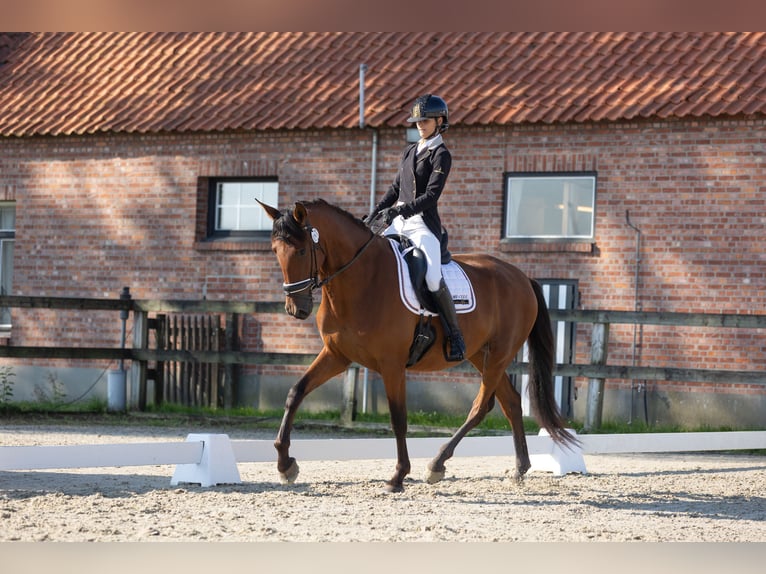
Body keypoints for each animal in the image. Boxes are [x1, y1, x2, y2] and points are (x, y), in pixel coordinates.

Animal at [258, 199, 576, 496]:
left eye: (301, 251)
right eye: (275, 251)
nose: (296, 309)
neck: (362, 279)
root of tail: (522, 277)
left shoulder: (392, 365)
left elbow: (398, 418)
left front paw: (398, 477)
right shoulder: (337, 355)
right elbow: (295, 393)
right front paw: (285, 465)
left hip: (499, 355)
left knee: (481, 406)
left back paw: (437, 464)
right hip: (479, 354)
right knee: (510, 402)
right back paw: (519, 468)